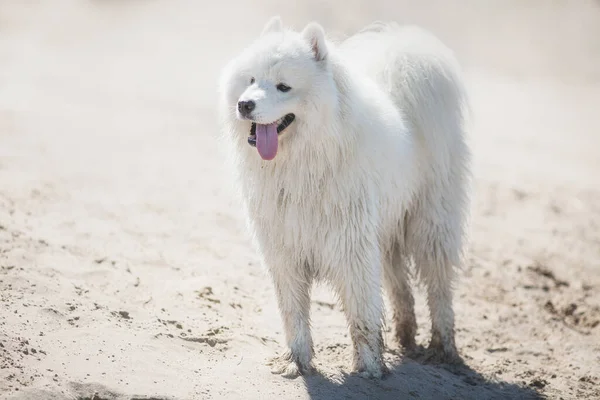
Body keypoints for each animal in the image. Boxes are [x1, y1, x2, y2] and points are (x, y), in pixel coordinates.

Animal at [218, 15, 472, 378]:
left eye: (283, 86)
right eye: (251, 80)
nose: (245, 104)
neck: (304, 162)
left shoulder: (353, 246)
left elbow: (362, 312)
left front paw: (368, 368)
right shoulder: (284, 249)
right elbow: (293, 313)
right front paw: (297, 360)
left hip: (430, 224)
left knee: (438, 286)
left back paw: (443, 347)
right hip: (387, 230)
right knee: (400, 286)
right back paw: (406, 335)